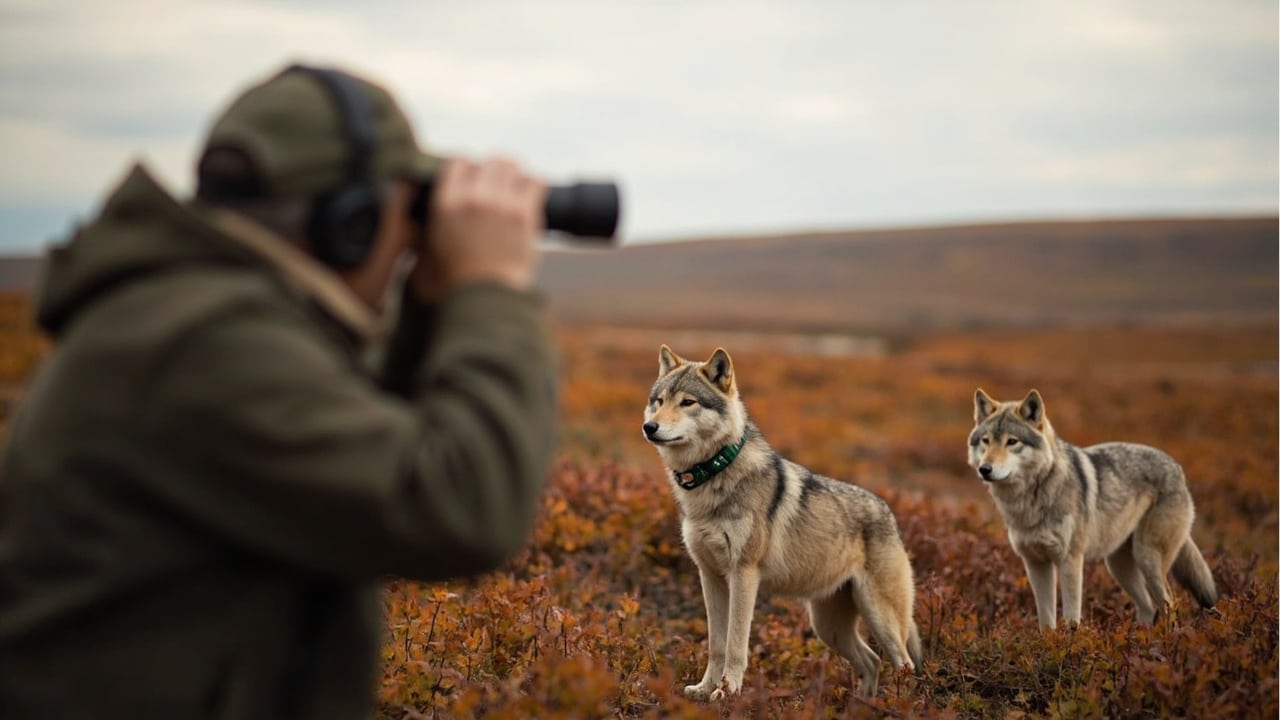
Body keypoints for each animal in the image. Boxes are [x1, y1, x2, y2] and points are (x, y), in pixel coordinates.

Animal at [642, 345, 923, 699]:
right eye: (659, 400)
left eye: (687, 402)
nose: (649, 427)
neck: (713, 476)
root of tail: (890, 513)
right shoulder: (710, 576)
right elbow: (716, 644)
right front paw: (705, 689)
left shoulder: (743, 575)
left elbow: (735, 645)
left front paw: (728, 692)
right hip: (827, 627)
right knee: (872, 661)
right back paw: (863, 704)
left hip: (879, 618)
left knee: (904, 665)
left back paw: (899, 704)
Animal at [968, 388, 1218, 629]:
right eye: (986, 441)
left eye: (1012, 442)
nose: (985, 469)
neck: (1030, 500)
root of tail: (1177, 467)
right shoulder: (1035, 563)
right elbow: (1046, 622)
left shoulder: (1070, 561)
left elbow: (1071, 619)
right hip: (1118, 566)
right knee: (1148, 607)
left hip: (1147, 561)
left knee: (1170, 605)